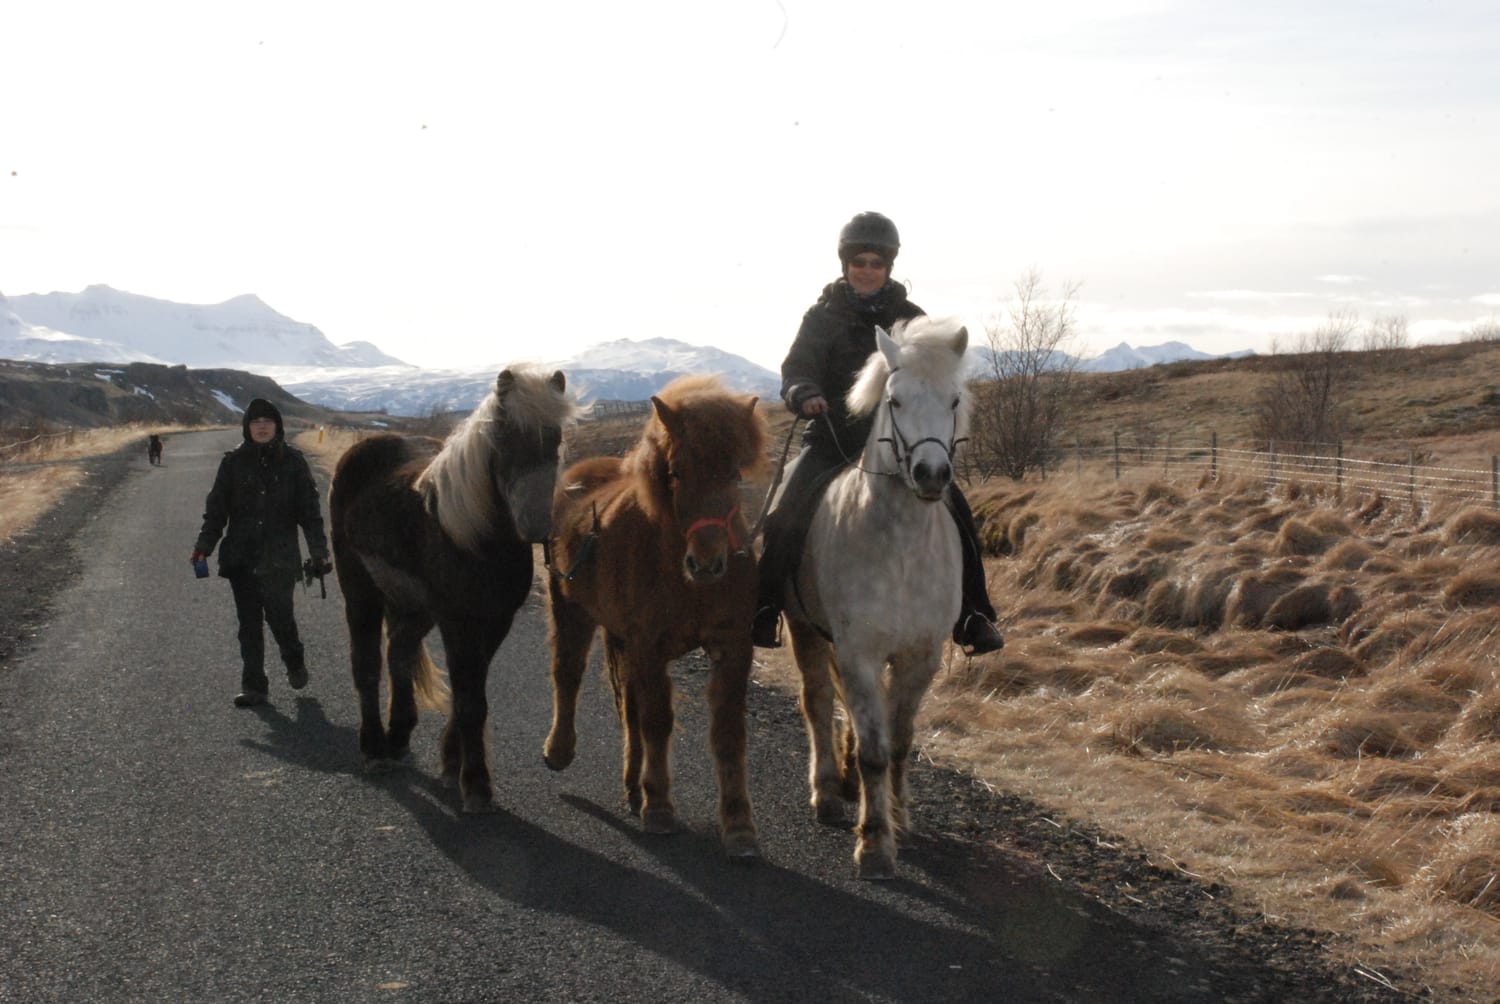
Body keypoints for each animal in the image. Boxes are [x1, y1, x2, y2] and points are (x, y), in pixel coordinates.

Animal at [329, 367, 575, 812]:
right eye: (503, 438)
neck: (475, 537)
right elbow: (469, 700)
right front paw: (475, 785)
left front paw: (452, 763)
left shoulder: (495, 621)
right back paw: (374, 749)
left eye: (556, 438)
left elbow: (469, 694)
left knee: (399, 653)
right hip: (360, 592)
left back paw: (398, 736)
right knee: (367, 664)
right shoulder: (456, 620)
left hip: (415, 608)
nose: (535, 526)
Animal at [543, 374, 769, 858]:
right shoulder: (649, 647)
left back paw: (632, 786)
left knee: (627, 706)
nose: (707, 563)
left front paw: (739, 825)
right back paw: (560, 750)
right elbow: (657, 722)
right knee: (568, 674)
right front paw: (660, 807)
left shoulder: (731, 647)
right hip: (571, 608)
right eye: (676, 471)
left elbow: (727, 732)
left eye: (734, 474)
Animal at [779, 317, 972, 879]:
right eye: (895, 399)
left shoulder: (919, 657)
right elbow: (874, 750)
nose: (932, 474)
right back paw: (827, 791)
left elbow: (900, 742)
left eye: (954, 400)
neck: (900, 549)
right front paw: (875, 843)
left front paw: (900, 817)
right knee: (819, 701)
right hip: (805, 630)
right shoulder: (859, 653)